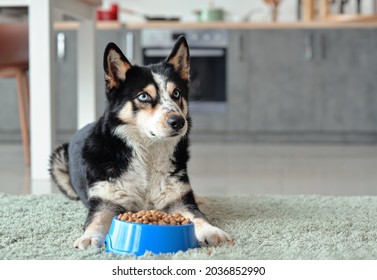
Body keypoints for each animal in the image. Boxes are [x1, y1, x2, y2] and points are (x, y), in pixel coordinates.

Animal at [48, 36, 231, 248]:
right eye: (144, 96)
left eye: (176, 94)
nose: (178, 122)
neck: (147, 154)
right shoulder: (106, 202)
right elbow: (97, 220)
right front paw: (89, 237)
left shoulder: (179, 201)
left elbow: (197, 216)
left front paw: (211, 231)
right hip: (58, 159)